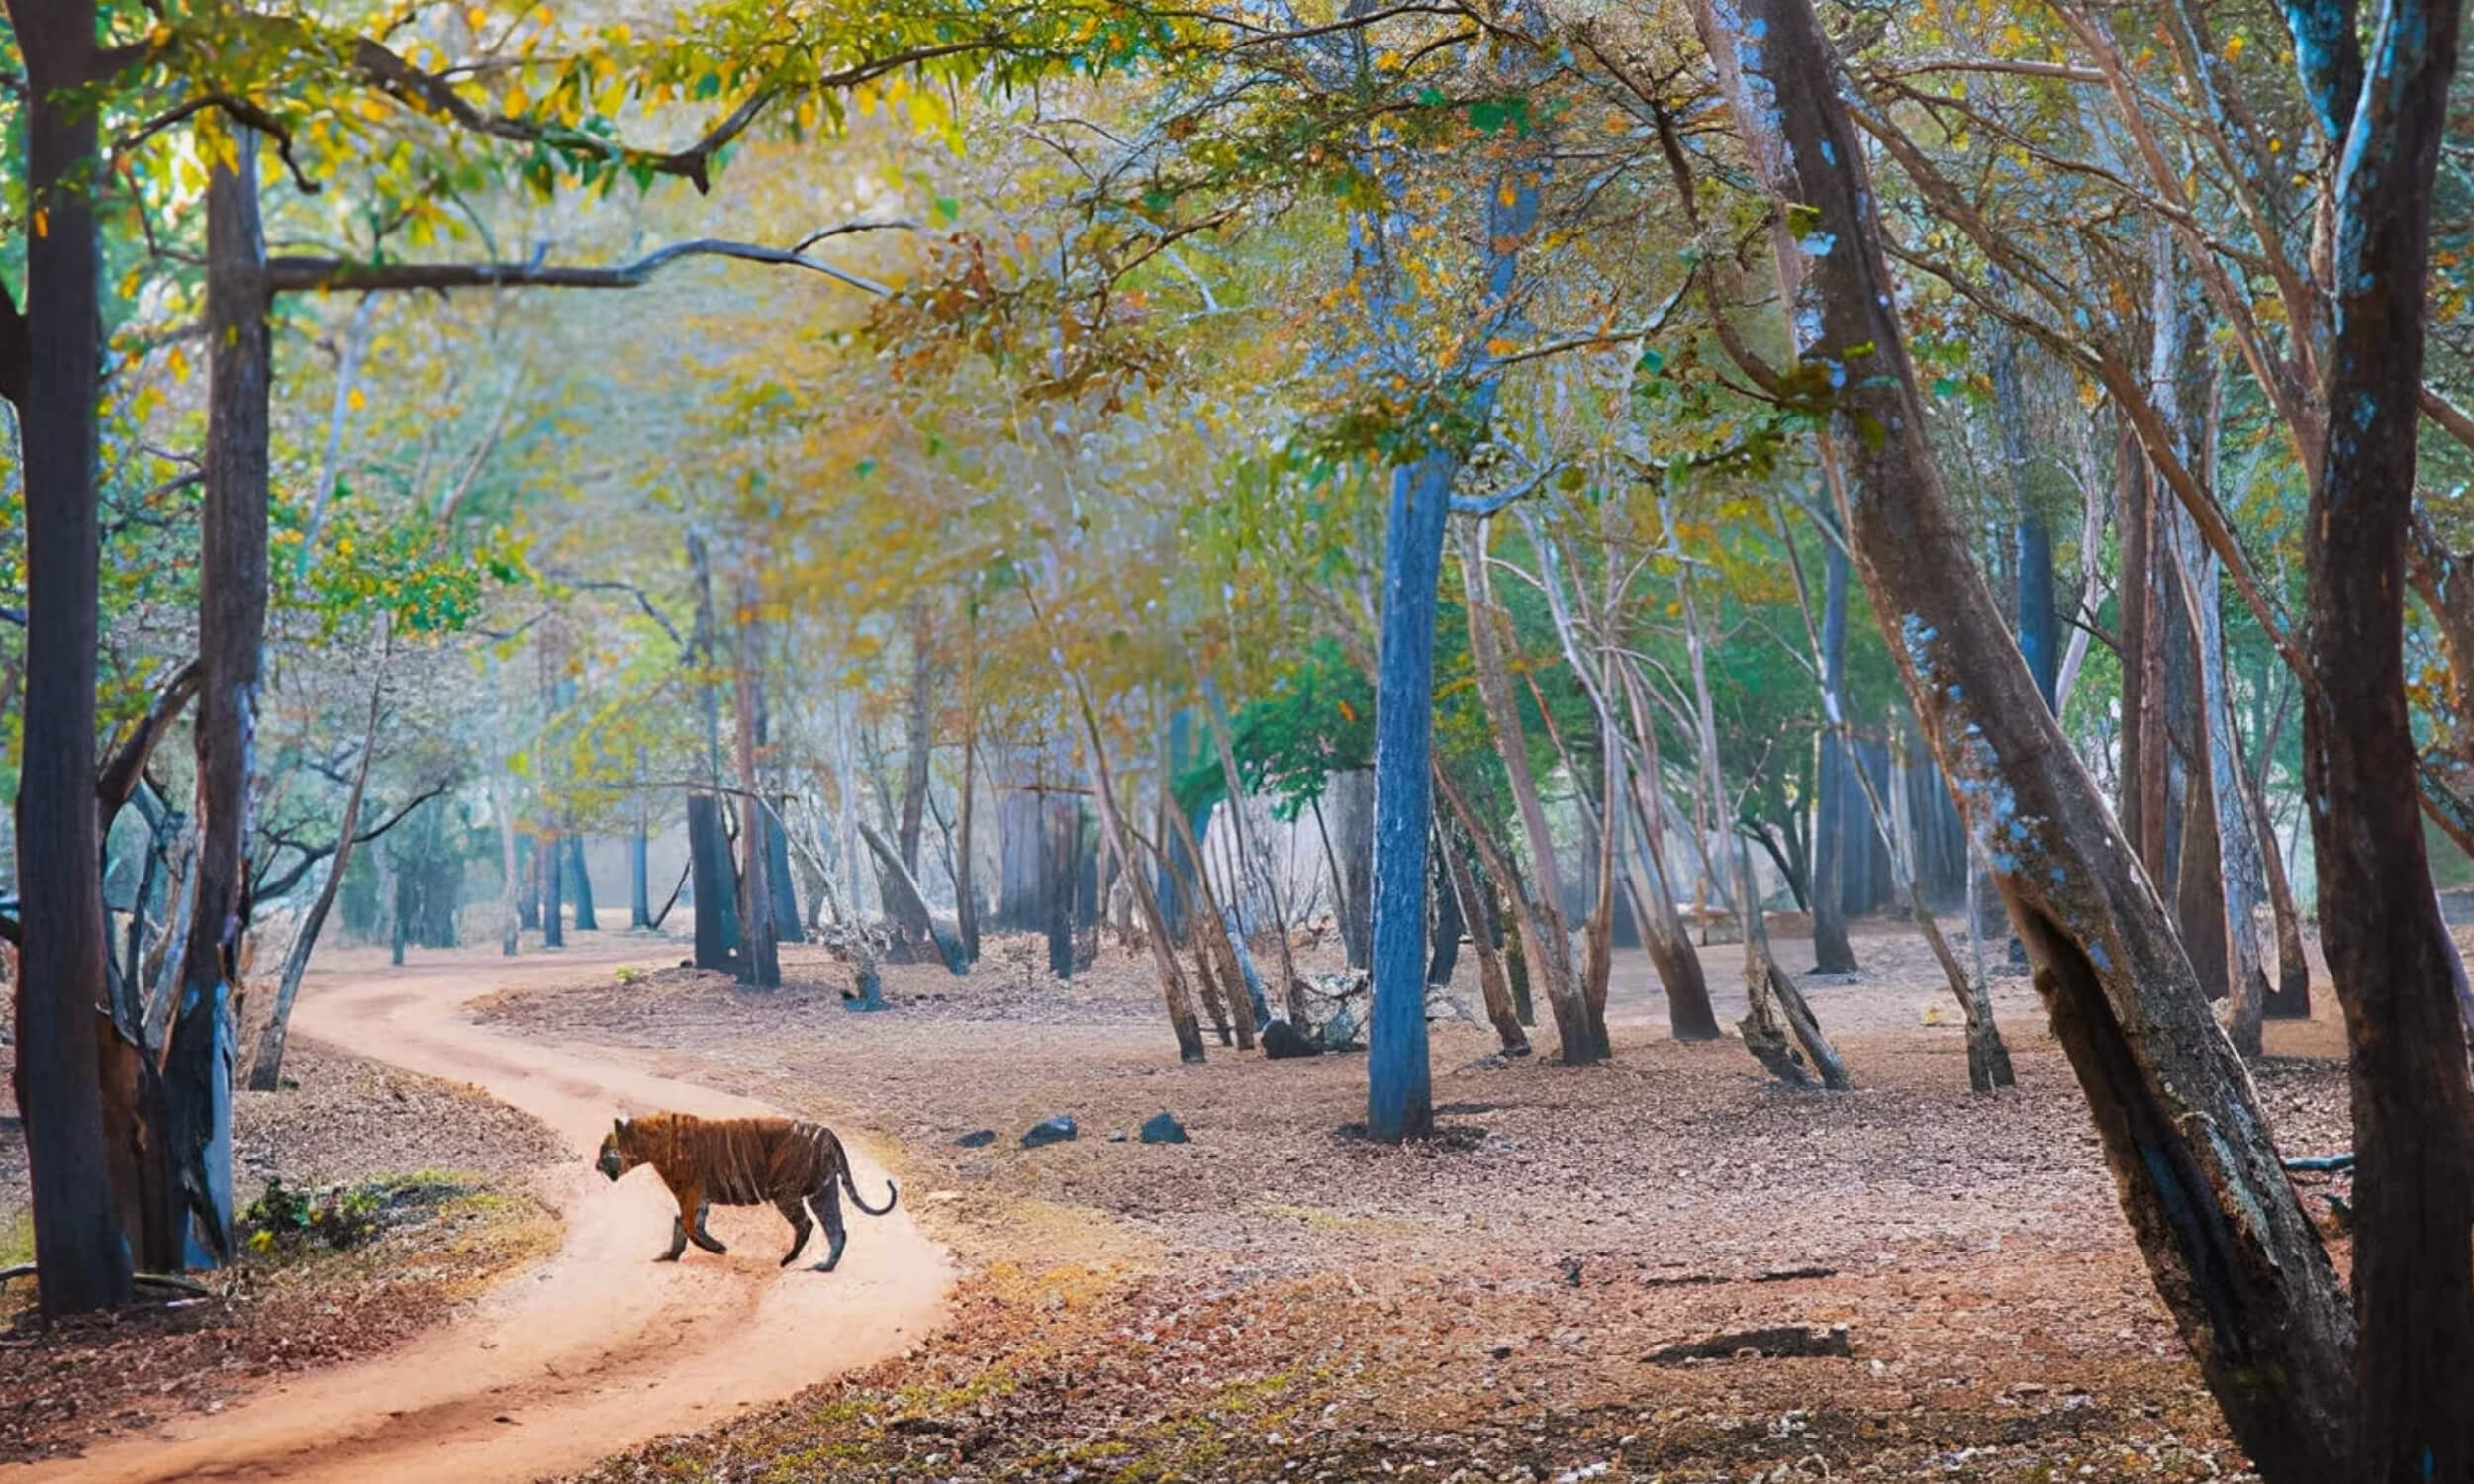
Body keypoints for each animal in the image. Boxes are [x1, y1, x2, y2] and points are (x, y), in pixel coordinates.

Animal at [595, 1111, 897, 1272]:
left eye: (604, 1149)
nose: (596, 1166)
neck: (650, 1145)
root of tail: (827, 1133)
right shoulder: (696, 1198)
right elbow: (683, 1224)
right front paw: (667, 1256)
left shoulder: (690, 1193)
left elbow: (690, 1226)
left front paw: (719, 1248)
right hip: (822, 1192)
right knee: (836, 1229)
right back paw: (824, 1267)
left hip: (787, 1193)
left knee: (807, 1224)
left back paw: (787, 1261)